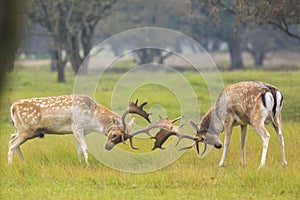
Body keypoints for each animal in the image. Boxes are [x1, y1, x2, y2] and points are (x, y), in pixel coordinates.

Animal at [8, 95, 173, 166]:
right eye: (114, 134)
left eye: (122, 140)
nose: (107, 147)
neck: (93, 118)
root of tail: (13, 107)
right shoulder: (77, 127)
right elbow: (85, 148)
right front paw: (87, 165)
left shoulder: (76, 131)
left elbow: (79, 150)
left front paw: (81, 164)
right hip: (26, 130)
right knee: (11, 144)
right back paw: (10, 166)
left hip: (24, 130)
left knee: (11, 138)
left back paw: (22, 162)